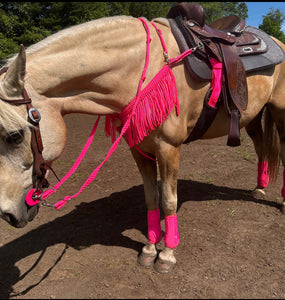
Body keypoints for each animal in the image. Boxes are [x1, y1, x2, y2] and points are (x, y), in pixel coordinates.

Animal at [0, 15, 284, 274]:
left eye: (15, 136)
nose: (8, 215)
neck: (141, 71)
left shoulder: (168, 148)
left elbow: (168, 200)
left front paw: (167, 254)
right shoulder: (139, 150)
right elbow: (151, 198)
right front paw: (149, 248)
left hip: (279, 113)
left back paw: (280, 201)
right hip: (253, 116)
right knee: (261, 146)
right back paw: (260, 187)